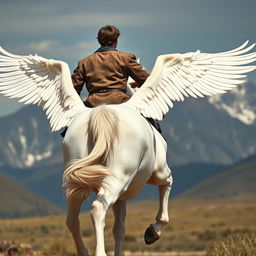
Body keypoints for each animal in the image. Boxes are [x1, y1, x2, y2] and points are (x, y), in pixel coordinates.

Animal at [0, 41, 255, 255]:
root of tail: (102, 113)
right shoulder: (162, 174)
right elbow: (164, 199)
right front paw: (152, 232)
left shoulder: (122, 198)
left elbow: (119, 229)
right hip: (116, 178)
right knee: (97, 208)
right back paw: (99, 253)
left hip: (76, 183)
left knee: (72, 219)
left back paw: (84, 252)